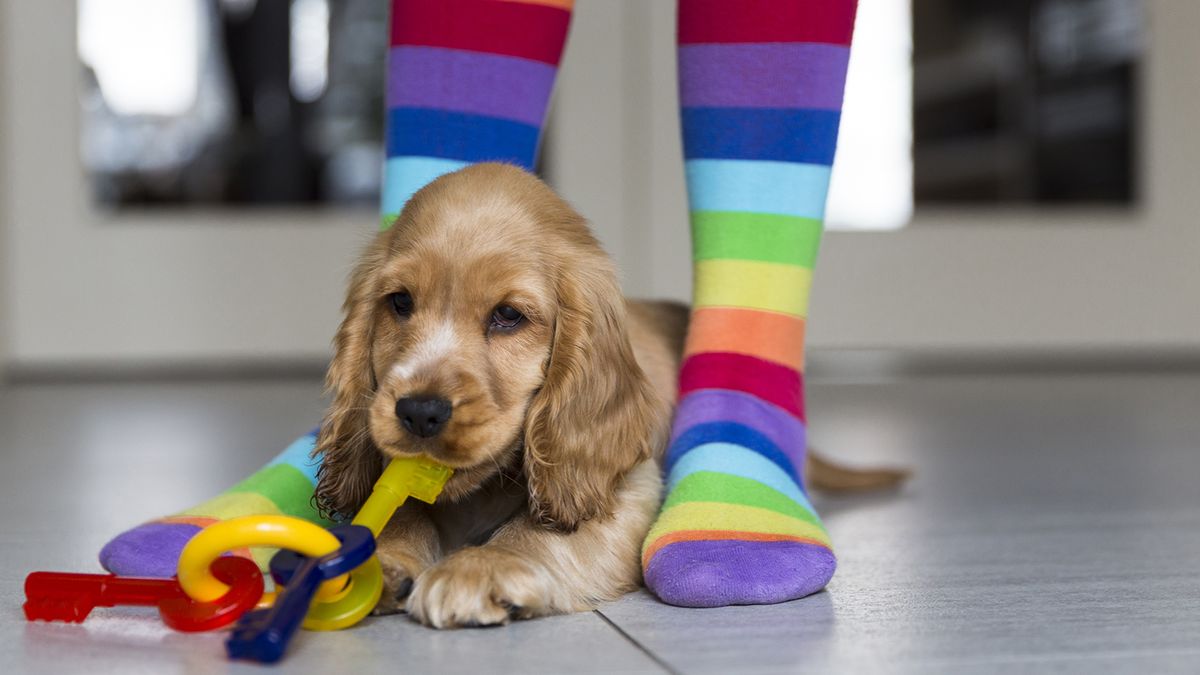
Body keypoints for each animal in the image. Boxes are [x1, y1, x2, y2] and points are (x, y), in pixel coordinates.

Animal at [312, 162, 902, 624]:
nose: (418, 412)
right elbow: (397, 510)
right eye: (399, 302)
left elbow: (541, 531)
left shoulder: (625, 485)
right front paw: (375, 557)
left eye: (508, 316)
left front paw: (482, 567)